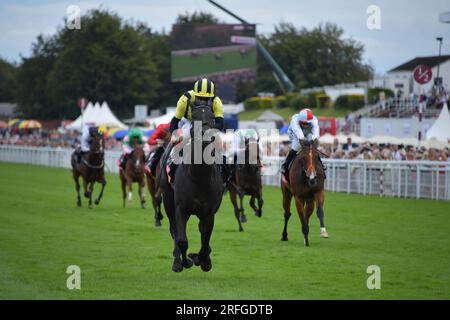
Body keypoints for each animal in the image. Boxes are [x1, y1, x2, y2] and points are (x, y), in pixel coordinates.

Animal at [162, 105, 225, 272]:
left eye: (212, 118)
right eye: (194, 117)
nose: (205, 136)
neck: (199, 176)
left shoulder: (209, 212)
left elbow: (205, 241)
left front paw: (203, 260)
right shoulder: (181, 208)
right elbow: (182, 240)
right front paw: (186, 261)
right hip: (167, 200)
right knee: (174, 230)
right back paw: (177, 261)